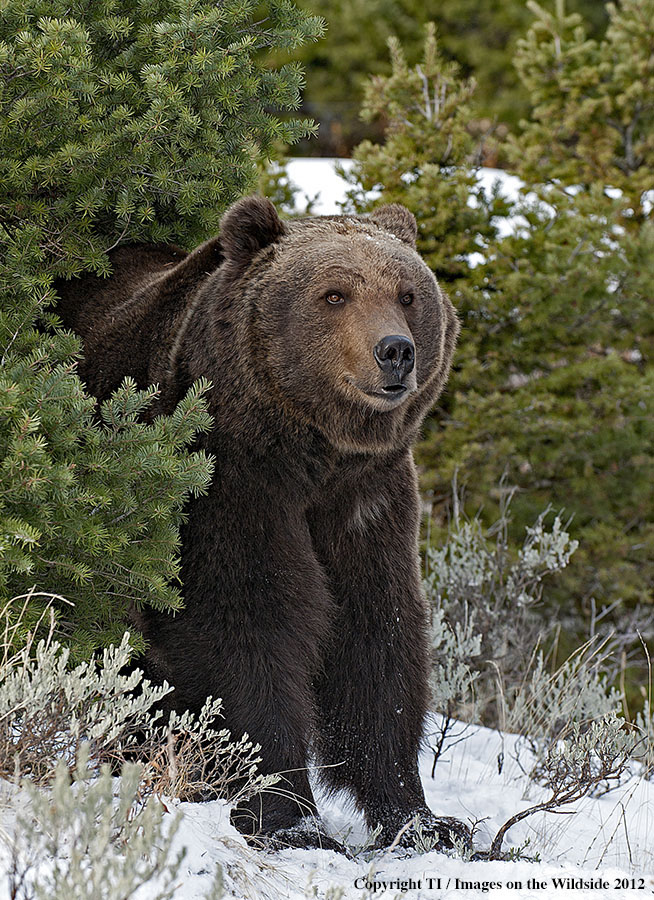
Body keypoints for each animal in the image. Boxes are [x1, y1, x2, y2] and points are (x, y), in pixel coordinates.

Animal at [55, 196, 464, 853]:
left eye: (407, 294)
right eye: (334, 294)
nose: (395, 351)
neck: (313, 455)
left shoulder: (368, 501)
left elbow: (378, 635)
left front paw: (423, 821)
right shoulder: (228, 482)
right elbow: (245, 626)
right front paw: (289, 819)